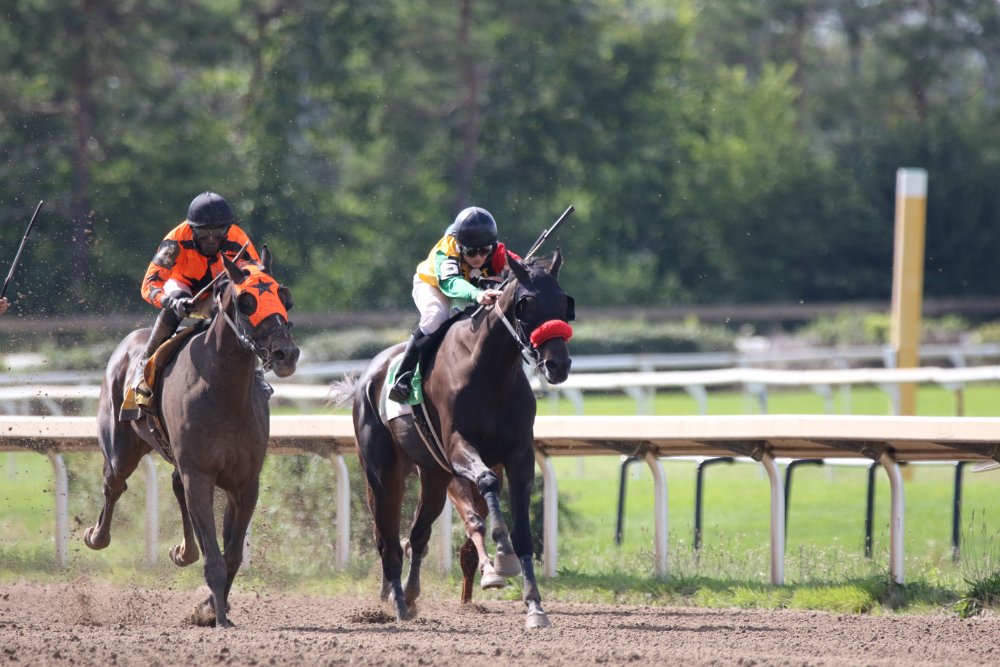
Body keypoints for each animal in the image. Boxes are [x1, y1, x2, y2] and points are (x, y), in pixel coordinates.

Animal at [83, 249, 299, 628]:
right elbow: (215, 556)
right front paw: (219, 617)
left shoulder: (244, 483)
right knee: (114, 484)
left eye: (285, 297)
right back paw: (97, 536)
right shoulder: (200, 474)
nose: (286, 354)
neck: (223, 391)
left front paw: (212, 608)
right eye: (246, 302)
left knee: (173, 484)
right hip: (120, 447)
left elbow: (232, 554)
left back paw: (184, 552)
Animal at [332, 250, 573, 629]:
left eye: (564, 301)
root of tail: (367, 378)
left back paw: (410, 595)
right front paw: (502, 556)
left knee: (417, 534)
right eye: (527, 303)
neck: (490, 372)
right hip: (382, 473)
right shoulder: (459, 447)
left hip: (434, 475)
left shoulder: (519, 454)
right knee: (387, 539)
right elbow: (487, 482)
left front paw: (535, 605)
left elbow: (523, 532)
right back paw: (397, 604)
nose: (557, 364)